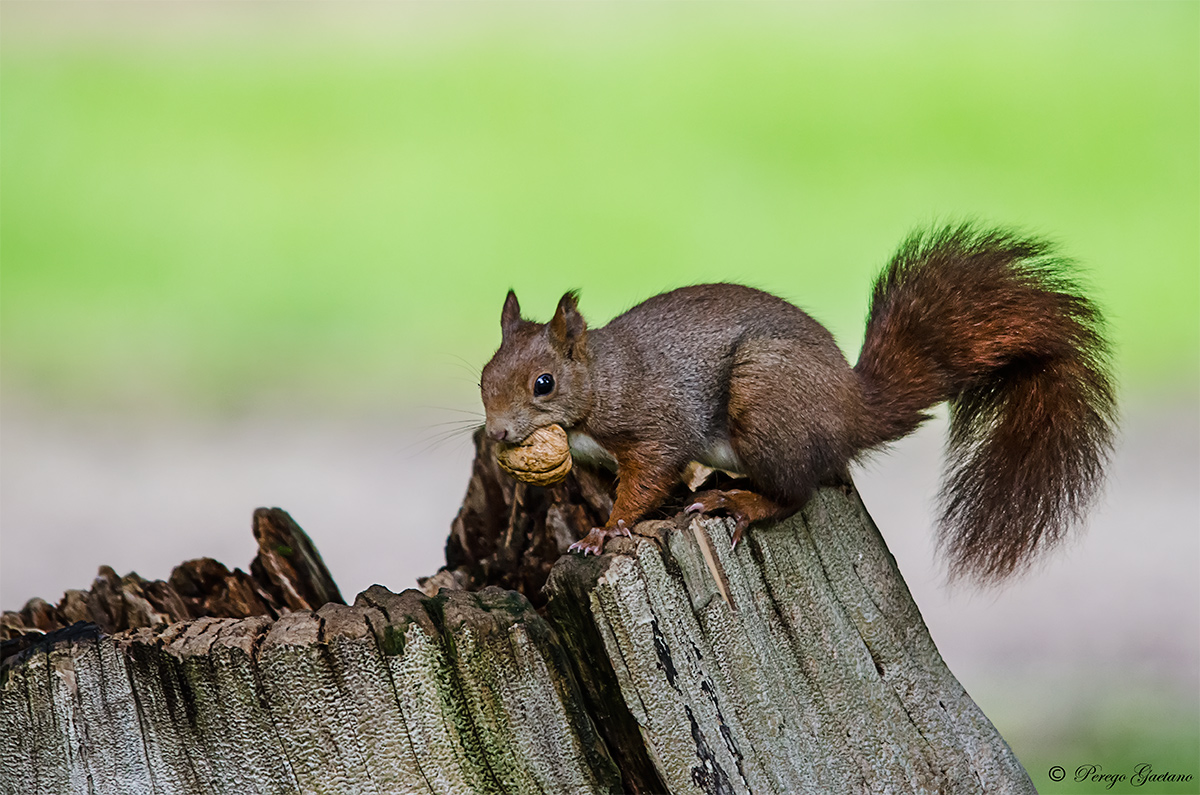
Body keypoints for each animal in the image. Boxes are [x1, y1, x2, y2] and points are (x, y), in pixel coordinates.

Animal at [480, 223, 1116, 582]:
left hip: (764, 403)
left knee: (798, 493)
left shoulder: (654, 424)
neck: (601, 379)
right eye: (484, 379)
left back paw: (737, 501)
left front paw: (603, 532)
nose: (498, 434)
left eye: (544, 384)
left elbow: (647, 478)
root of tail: (851, 412)